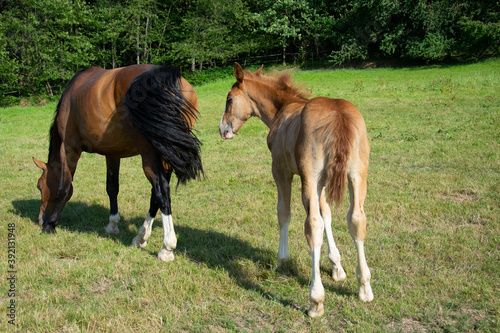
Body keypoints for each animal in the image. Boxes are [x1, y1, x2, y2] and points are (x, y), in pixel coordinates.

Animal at [33, 64, 203, 262]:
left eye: (39, 185)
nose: (40, 220)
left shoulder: (69, 148)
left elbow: (64, 187)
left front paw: (50, 226)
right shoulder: (112, 154)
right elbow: (112, 187)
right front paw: (112, 225)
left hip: (151, 155)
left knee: (161, 190)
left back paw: (166, 247)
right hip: (168, 153)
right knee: (156, 194)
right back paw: (140, 236)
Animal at [219, 64, 372, 316]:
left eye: (229, 99)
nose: (223, 129)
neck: (282, 109)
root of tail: (338, 115)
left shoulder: (282, 170)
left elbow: (284, 212)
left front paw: (283, 260)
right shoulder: (322, 182)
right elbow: (327, 213)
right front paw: (337, 266)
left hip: (310, 177)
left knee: (313, 225)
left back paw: (315, 300)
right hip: (357, 176)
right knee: (357, 219)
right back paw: (365, 288)